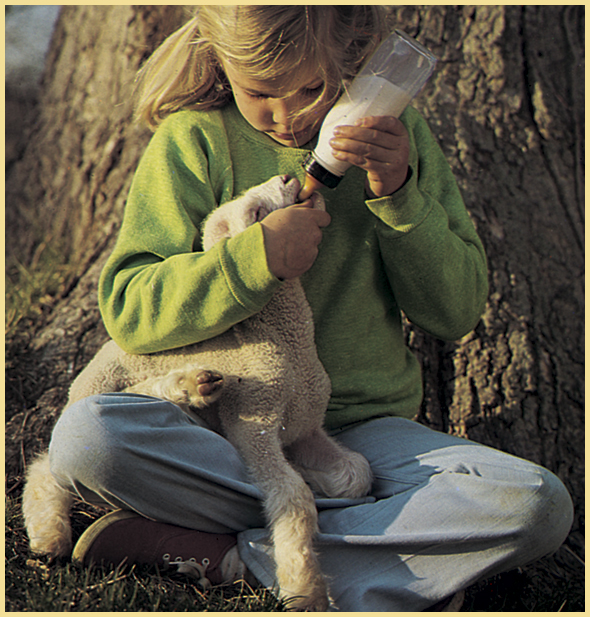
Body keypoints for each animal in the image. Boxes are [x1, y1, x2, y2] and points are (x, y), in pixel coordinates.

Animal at [25, 173, 374, 612]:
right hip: (95, 386)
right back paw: (49, 537)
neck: (286, 344)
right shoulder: (254, 419)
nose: (287, 177)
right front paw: (304, 586)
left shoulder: (305, 427)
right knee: (47, 464)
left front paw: (317, 476)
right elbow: (293, 497)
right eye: (256, 212)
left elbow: (357, 473)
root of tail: (107, 348)